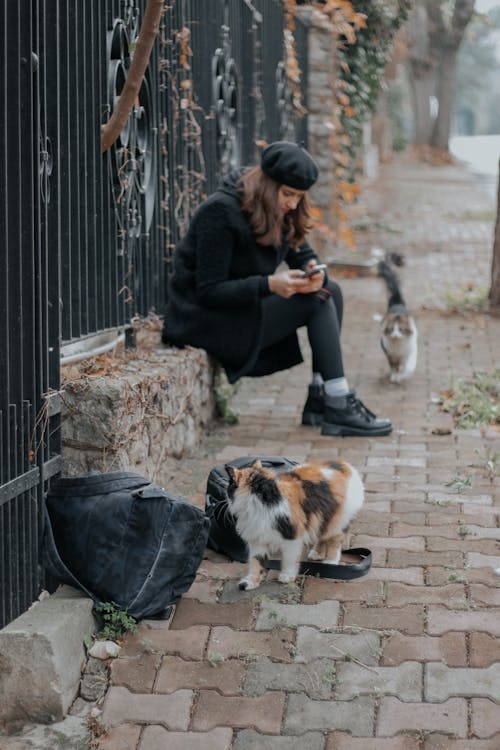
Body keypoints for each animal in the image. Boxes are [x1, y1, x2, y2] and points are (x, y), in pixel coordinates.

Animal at [226, 458, 364, 592]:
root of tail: (345, 465)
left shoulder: (292, 537)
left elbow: (289, 558)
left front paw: (287, 576)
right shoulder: (257, 538)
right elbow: (256, 562)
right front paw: (250, 582)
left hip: (336, 522)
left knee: (335, 541)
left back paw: (330, 561)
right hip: (322, 519)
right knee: (322, 537)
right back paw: (316, 554)